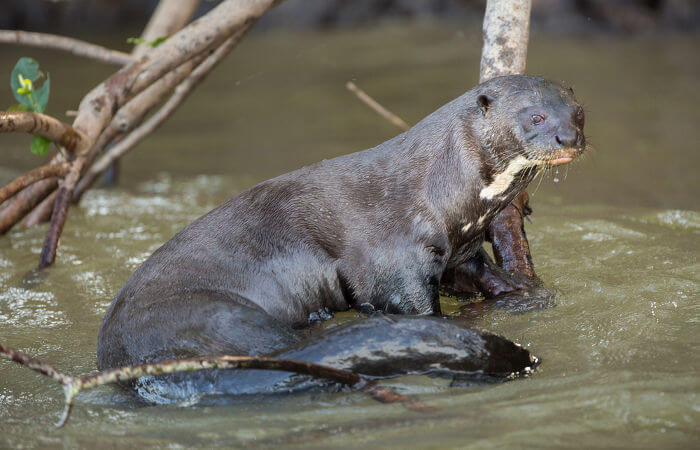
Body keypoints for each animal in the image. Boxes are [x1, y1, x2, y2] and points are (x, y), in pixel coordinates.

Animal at [94, 75, 584, 396]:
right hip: (213, 316)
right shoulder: (396, 260)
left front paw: (522, 291)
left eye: (578, 112)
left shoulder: (458, 249)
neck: (436, 190)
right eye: (536, 116)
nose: (568, 137)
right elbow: (412, 305)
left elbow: (481, 272)